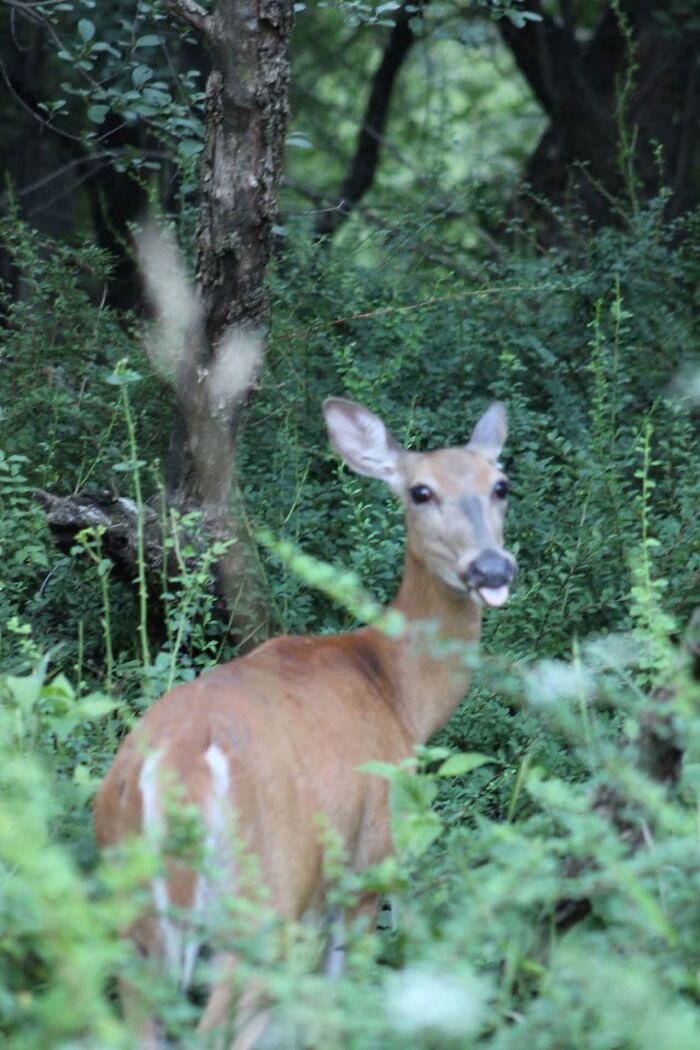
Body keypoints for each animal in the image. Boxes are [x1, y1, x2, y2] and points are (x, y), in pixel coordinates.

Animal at [93, 396, 517, 1048]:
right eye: (420, 491)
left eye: (500, 485)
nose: (492, 569)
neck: (397, 688)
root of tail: (179, 772)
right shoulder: (370, 861)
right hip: (265, 899)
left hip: (135, 917)